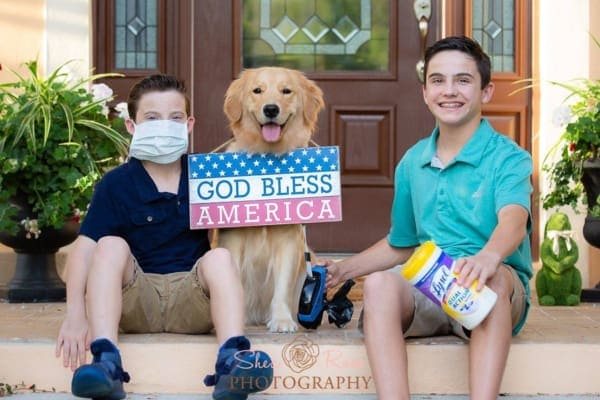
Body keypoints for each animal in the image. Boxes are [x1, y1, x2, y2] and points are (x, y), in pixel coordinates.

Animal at [217, 67, 324, 332]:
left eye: (287, 91)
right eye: (257, 90)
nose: (271, 109)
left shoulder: (288, 242)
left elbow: (282, 286)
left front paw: (283, 319)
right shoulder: (232, 240)